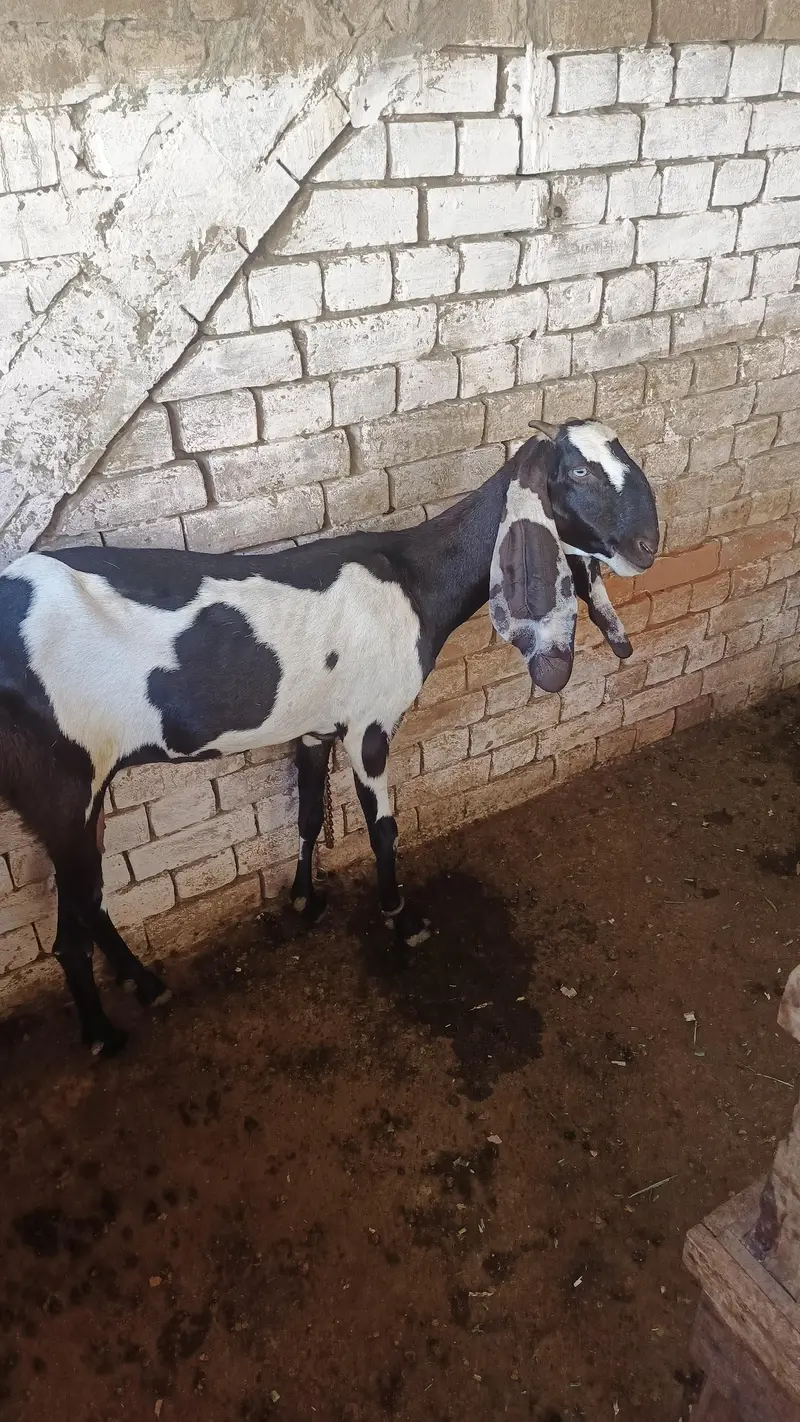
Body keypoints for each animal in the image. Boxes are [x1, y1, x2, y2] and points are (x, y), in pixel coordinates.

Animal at [0, 419, 658, 1055]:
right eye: (578, 472)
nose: (648, 546)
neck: (414, 580)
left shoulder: (315, 726)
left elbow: (310, 813)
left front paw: (304, 899)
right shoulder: (370, 724)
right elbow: (383, 830)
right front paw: (401, 920)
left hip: (83, 788)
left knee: (88, 900)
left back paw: (143, 984)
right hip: (61, 786)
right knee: (72, 924)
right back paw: (103, 1033)